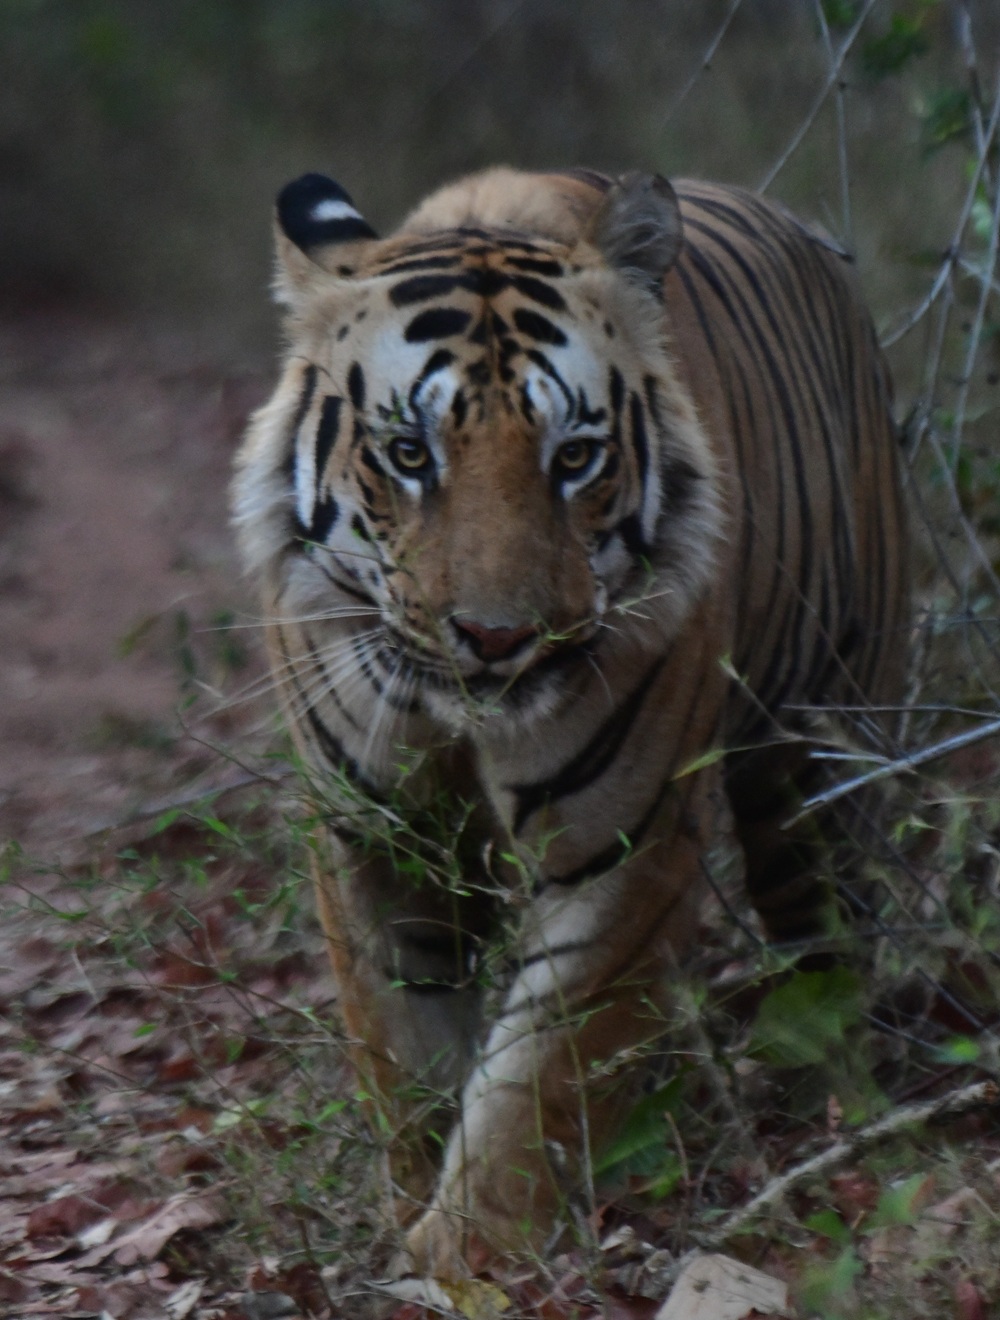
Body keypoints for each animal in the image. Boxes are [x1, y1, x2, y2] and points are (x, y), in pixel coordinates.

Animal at [231, 165, 909, 1277]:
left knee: (826, 927)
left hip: (822, 744)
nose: (496, 637)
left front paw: (467, 1258)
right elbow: (400, 1045)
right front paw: (410, 1209)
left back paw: (839, 1095)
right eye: (408, 453)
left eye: (577, 456)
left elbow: (538, 1074)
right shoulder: (375, 834)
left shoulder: (620, 844)